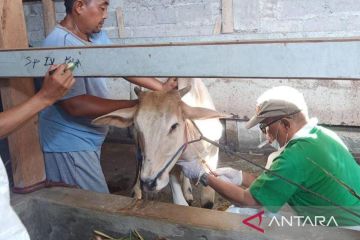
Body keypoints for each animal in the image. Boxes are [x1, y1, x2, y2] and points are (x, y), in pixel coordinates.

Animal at [92, 79, 225, 208]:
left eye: (174, 125)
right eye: (137, 125)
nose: (148, 183)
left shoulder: (212, 155)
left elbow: (207, 203)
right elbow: (180, 203)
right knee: (139, 162)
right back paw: (137, 191)